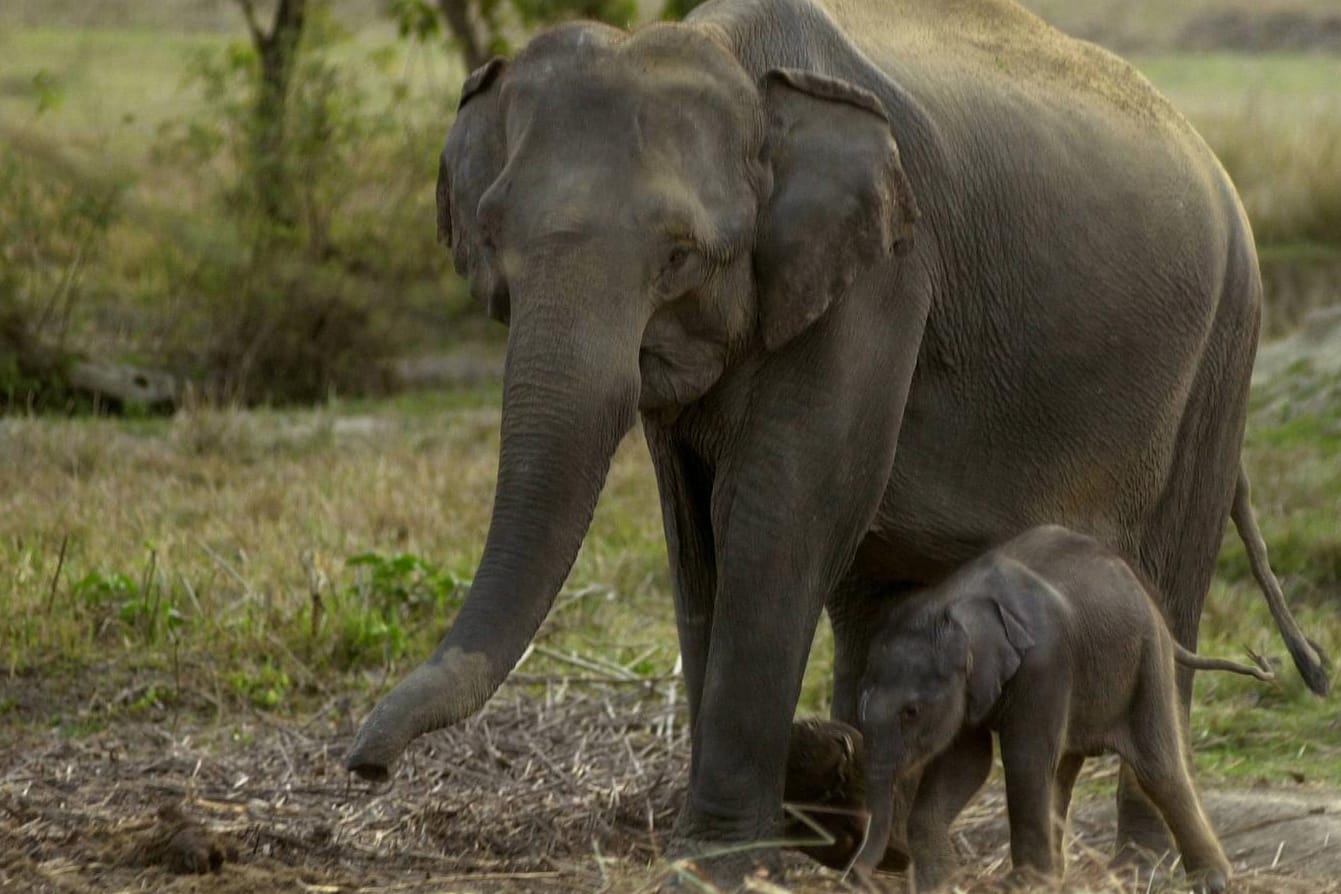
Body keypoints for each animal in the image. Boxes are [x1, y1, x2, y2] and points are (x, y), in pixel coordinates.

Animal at [852, 528, 1271, 889]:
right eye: (863, 702)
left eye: (911, 712)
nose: (855, 876)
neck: (955, 602)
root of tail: (1143, 590)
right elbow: (969, 762)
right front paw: (940, 886)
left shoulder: (1045, 662)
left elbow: (1023, 760)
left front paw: (1021, 887)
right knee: (1064, 769)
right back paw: (1061, 876)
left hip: (1148, 658)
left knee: (1158, 768)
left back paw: (1213, 882)